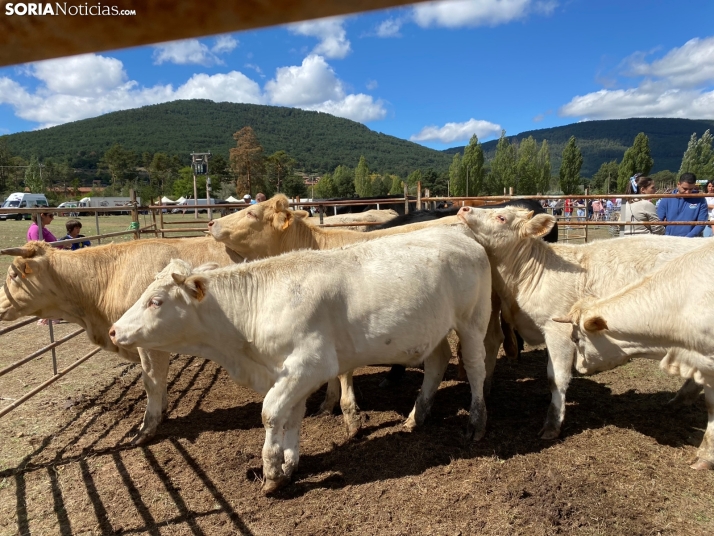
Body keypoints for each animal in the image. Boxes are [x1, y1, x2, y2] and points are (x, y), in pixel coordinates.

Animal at [110, 226, 490, 494]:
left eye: (156, 301)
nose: (114, 330)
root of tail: (460, 235)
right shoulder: (288, 373)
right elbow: (290, 417)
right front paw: (289, 465)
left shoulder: (311, 365)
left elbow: (270, 413)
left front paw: (271, 473)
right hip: (434, 329)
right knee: (437, 363)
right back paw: (416, 417)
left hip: (472, 322)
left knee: (475, 369)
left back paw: (475, 422)